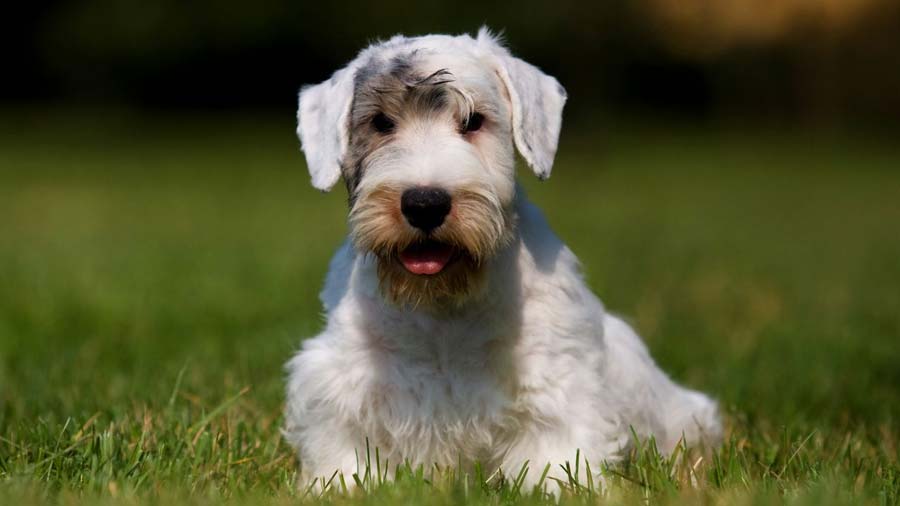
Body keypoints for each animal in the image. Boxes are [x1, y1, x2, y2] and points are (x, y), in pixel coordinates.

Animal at [284, 28, 720, 490]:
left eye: (473, 121)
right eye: (382, 123)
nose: (425, 203)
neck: (441, 304)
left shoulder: (555, 381)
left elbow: (557, 449)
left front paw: (558, 486)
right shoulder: (344, 382)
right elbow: (348, 447)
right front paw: (344, 483)